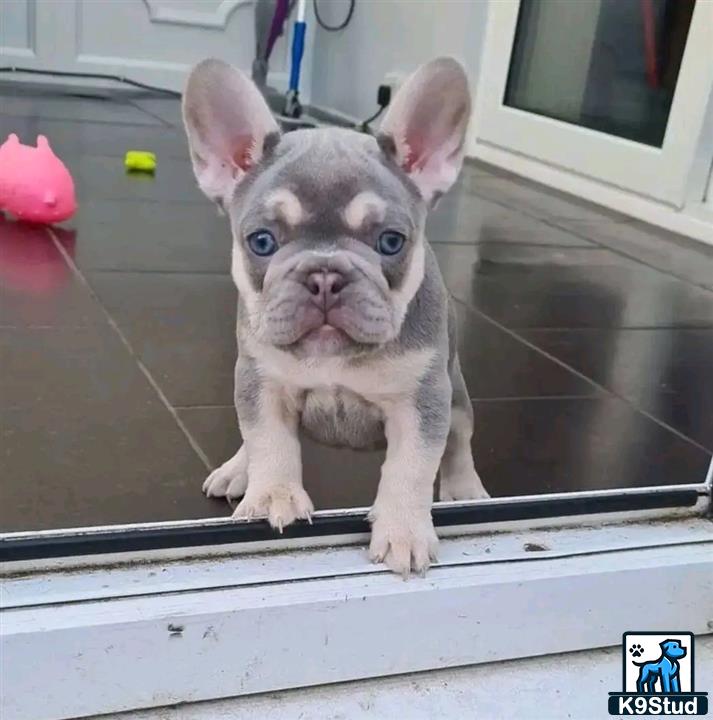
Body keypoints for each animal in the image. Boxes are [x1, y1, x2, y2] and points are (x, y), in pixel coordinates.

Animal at [182, 56, 490, 576]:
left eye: (391, 241)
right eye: (261, 241)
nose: (324, 275)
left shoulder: (423, 400)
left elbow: (411, 466)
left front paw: (404, 530)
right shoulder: (261, 380)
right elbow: (269, 439)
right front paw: (272, 494)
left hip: (458, 394)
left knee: (459, 440)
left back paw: (465, 489)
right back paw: (239, 469)